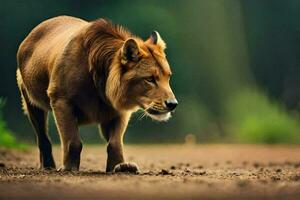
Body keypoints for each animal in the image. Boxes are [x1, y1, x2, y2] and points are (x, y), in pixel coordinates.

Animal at [16, 15, 177, 173]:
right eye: (150, 79)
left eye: (168, 77)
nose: (172, 104)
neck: (101, 78)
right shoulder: (61, 100)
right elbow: (72, 141)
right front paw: (69, 168)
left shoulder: (119, 110)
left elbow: (115, 142)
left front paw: (121, 167)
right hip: (31, 101)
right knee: (43, 138)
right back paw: (48, 166)